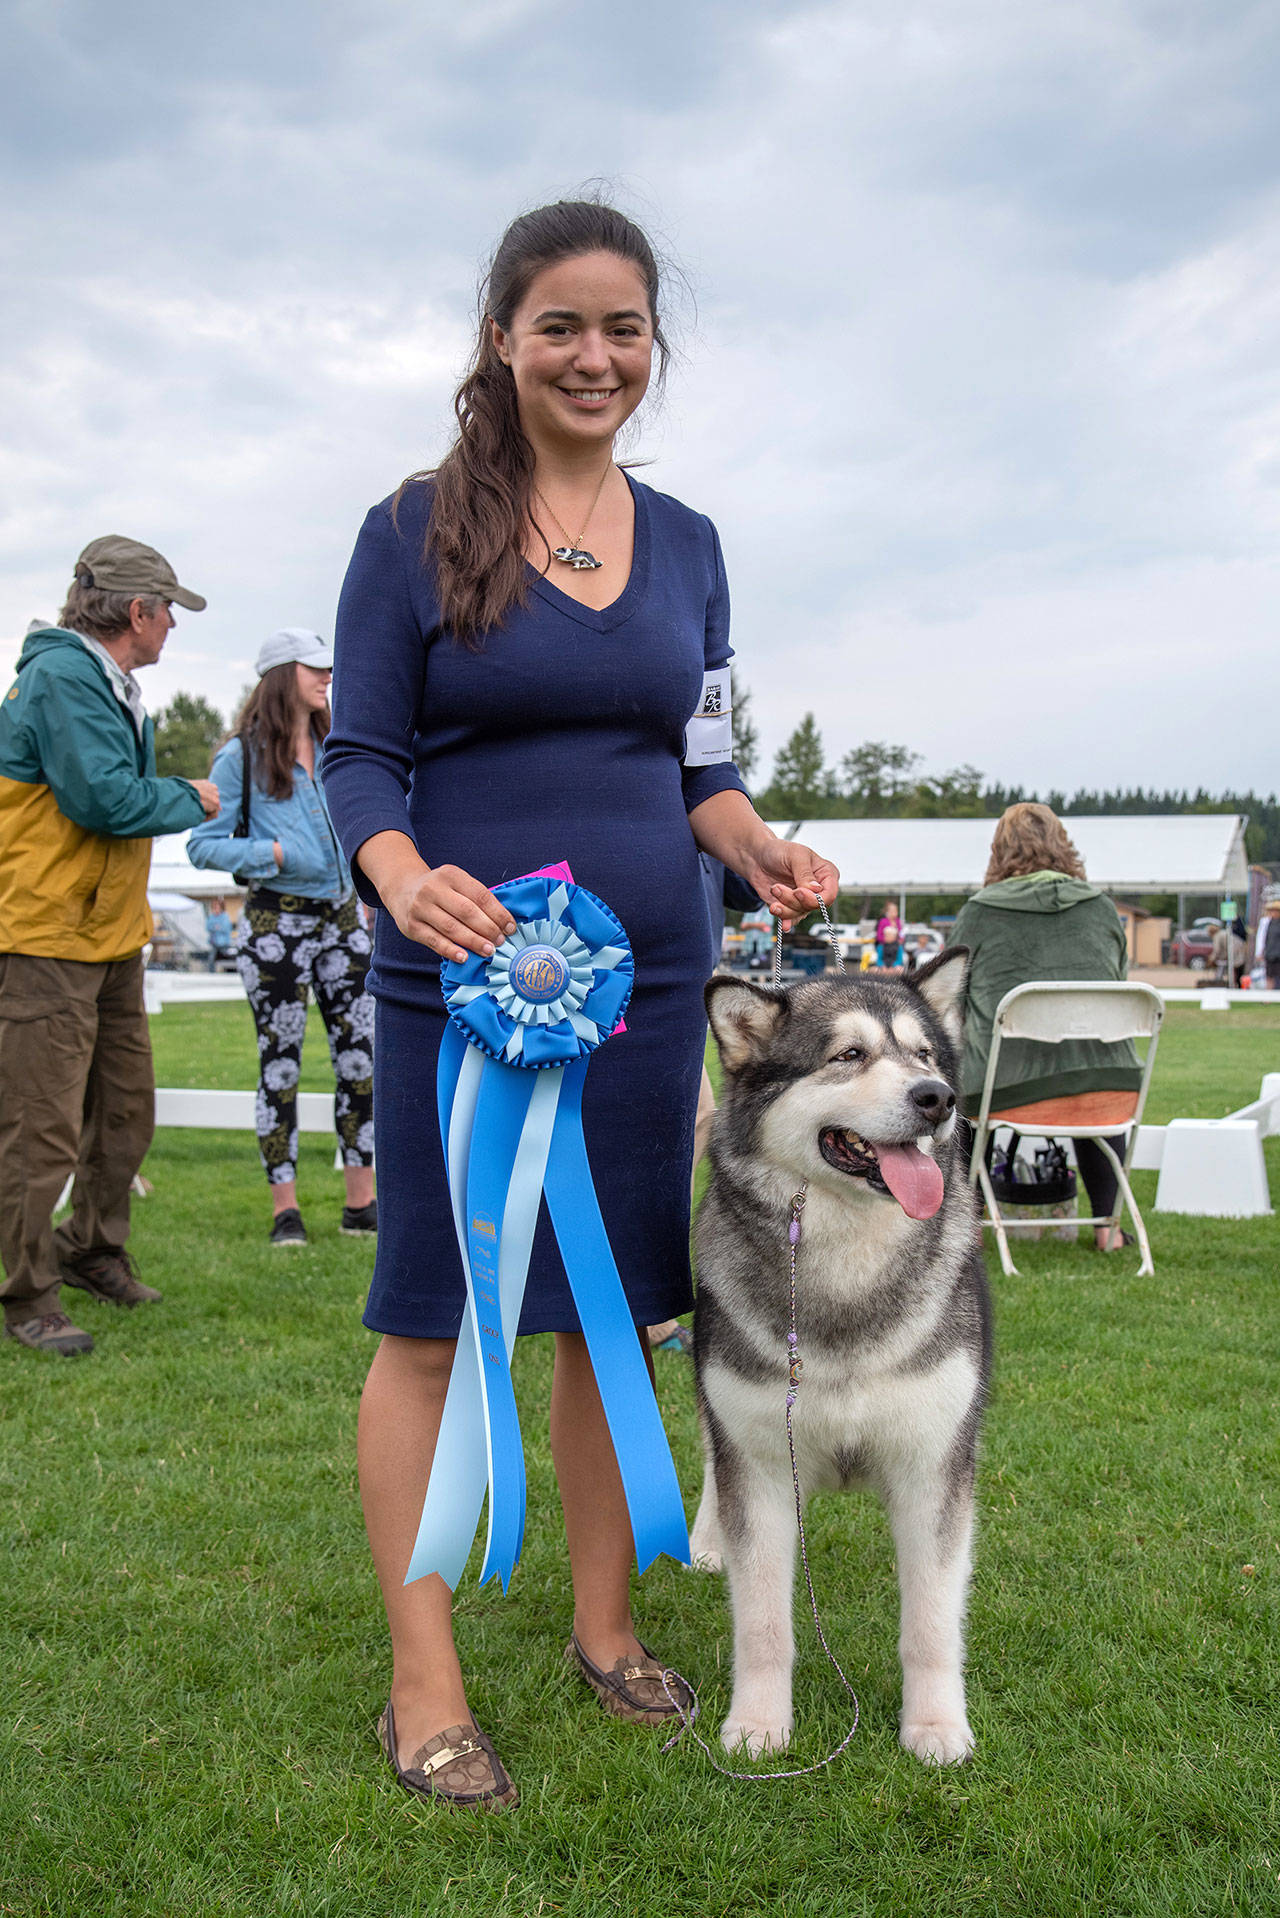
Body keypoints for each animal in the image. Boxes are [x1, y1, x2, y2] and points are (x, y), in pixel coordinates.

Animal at [690, 955, 990, 1764]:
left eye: (925, 1054)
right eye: (848, 1055)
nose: (937, 1098)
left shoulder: (933, 1467)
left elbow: (931, 1624)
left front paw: (935, 1726)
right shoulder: (760, 1463)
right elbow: (762, 1622)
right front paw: (757, 1725)